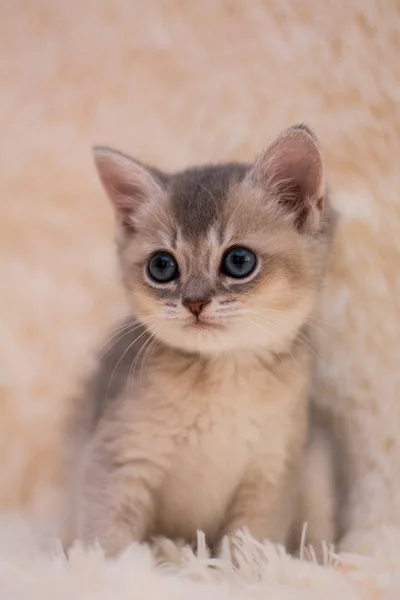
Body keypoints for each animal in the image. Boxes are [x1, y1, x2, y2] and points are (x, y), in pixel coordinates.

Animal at [61, 125, 338, 556]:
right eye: (162, 266)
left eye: (239, 261)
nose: (194, 302)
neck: (222, 377)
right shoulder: (117, 458)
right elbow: (107, 541)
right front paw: (108, 568)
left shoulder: (272, 471)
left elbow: (249, 547)